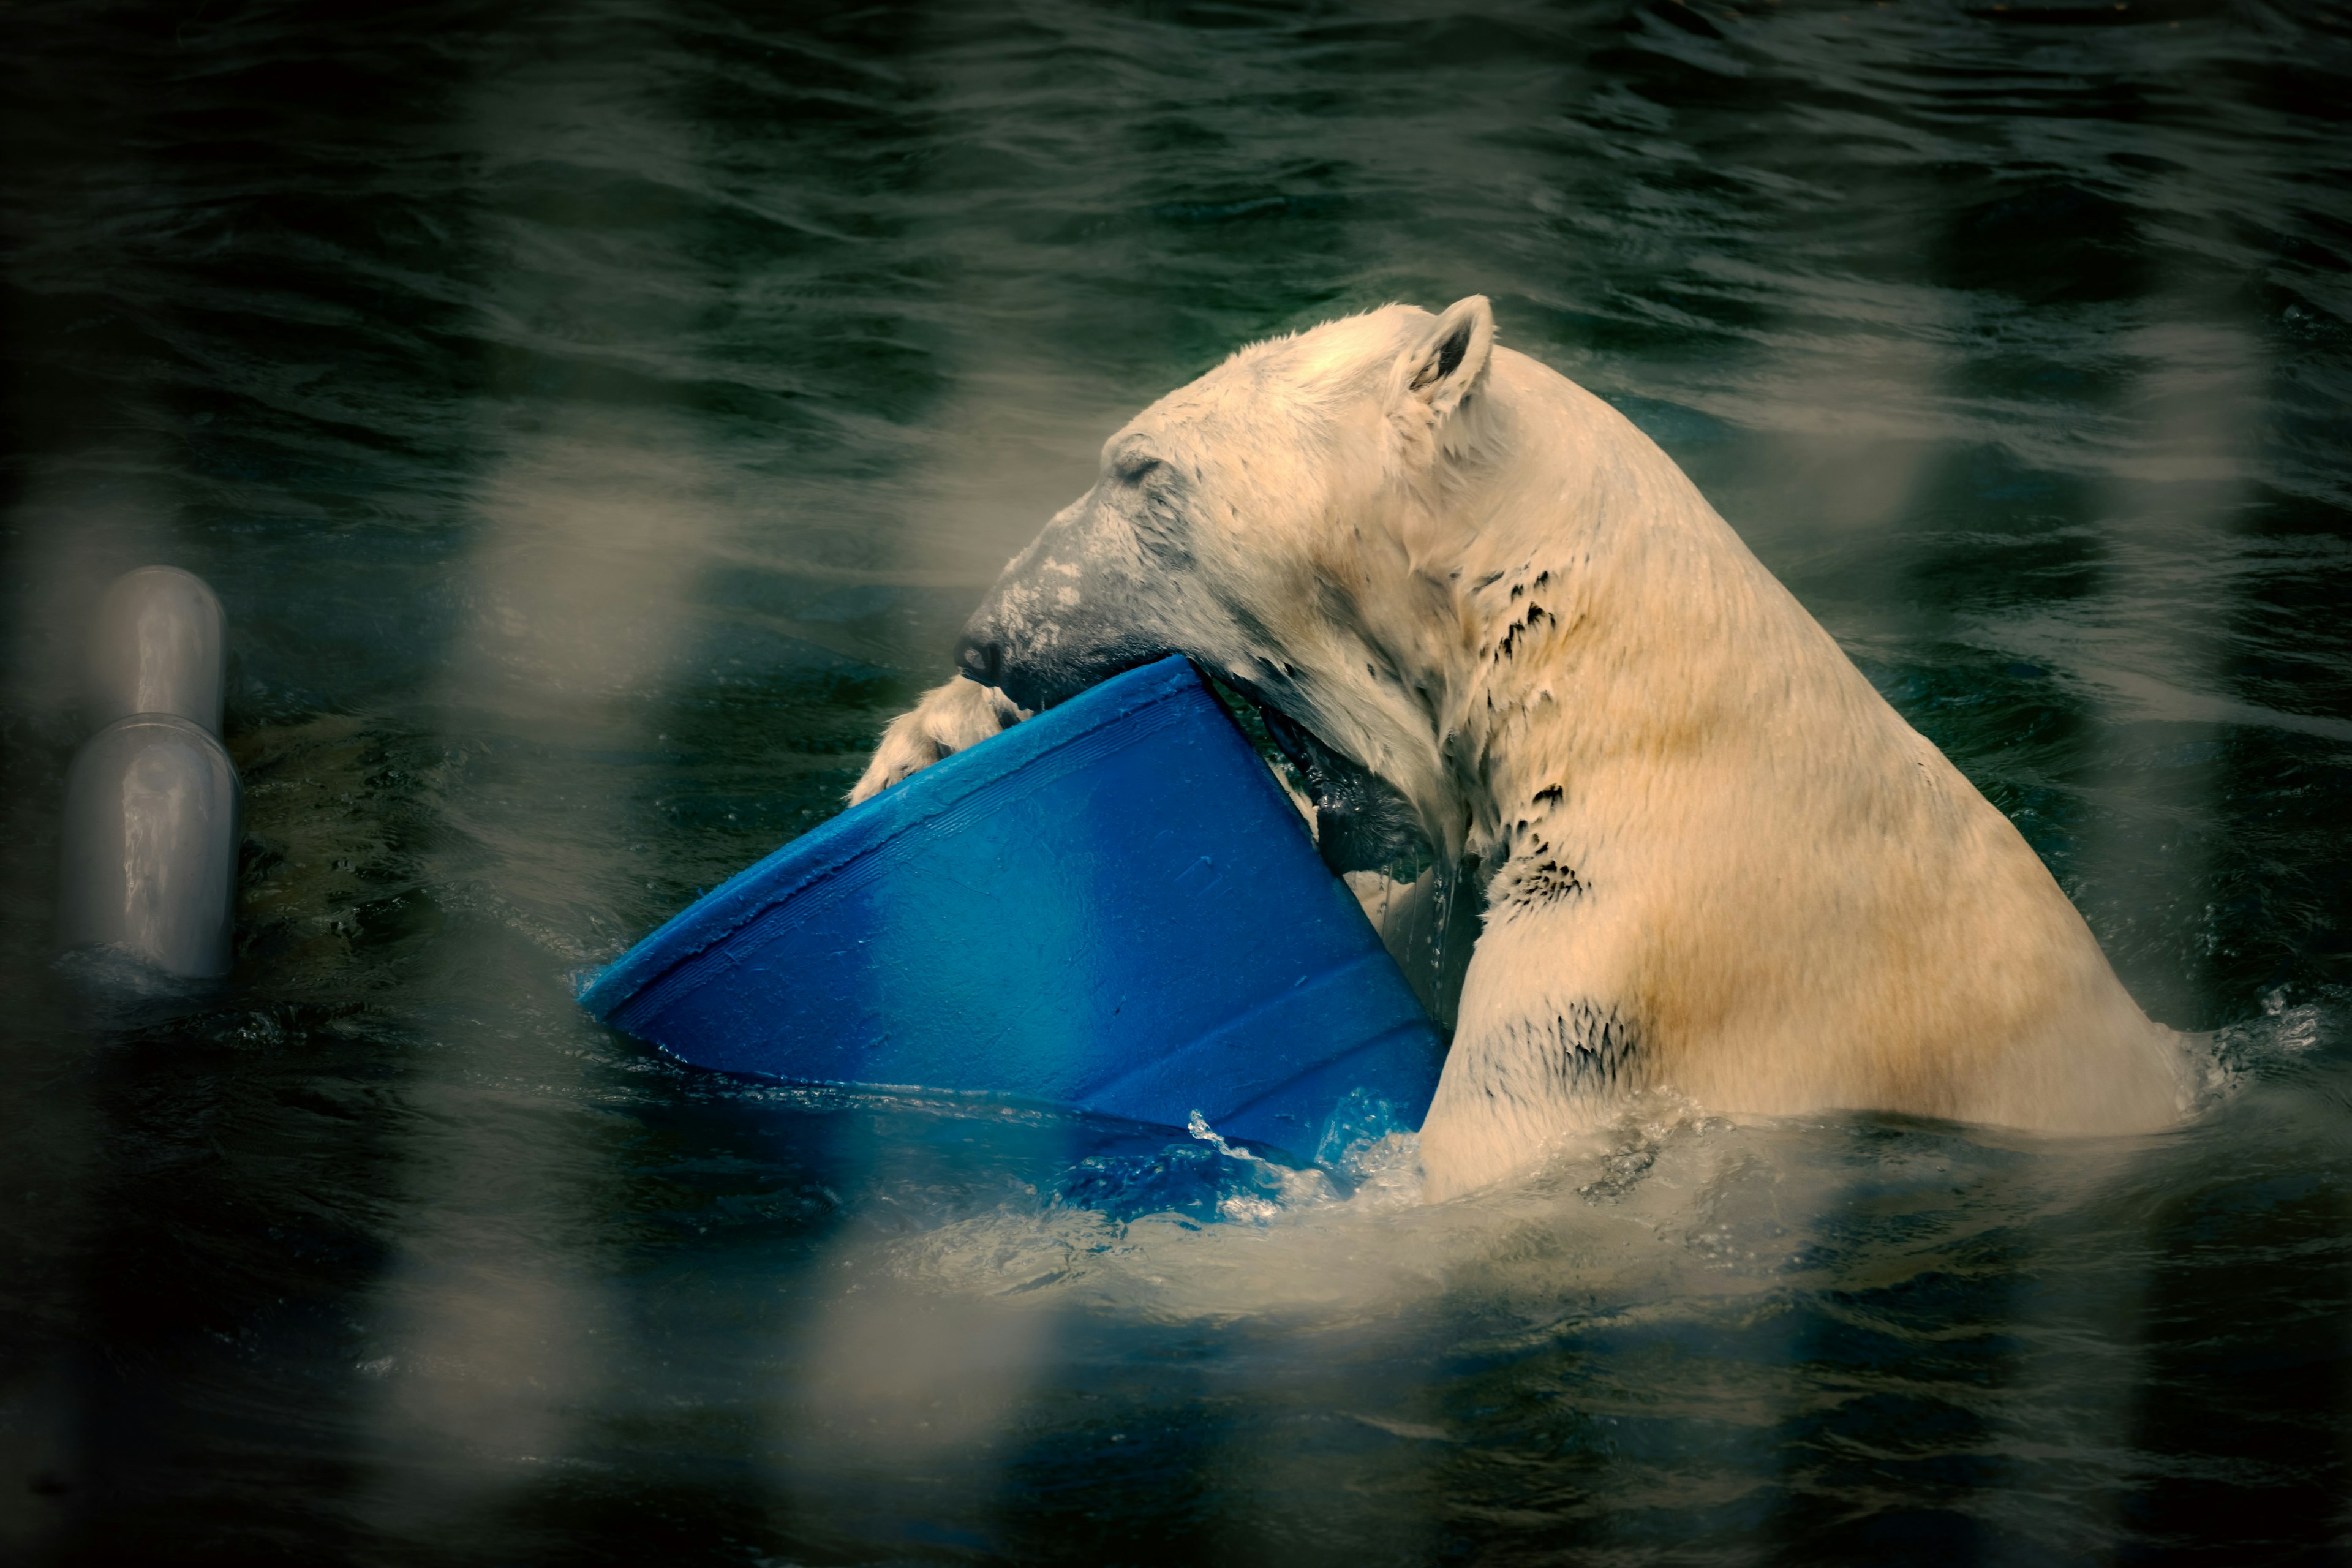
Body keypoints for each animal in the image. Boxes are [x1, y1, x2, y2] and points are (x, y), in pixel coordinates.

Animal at [846, 297, 2182, 1204]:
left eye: (1141, 470)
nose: (988, 636)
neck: (1622, 703)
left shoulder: (1631, 960)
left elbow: (1452, 1175)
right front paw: (939, 735)